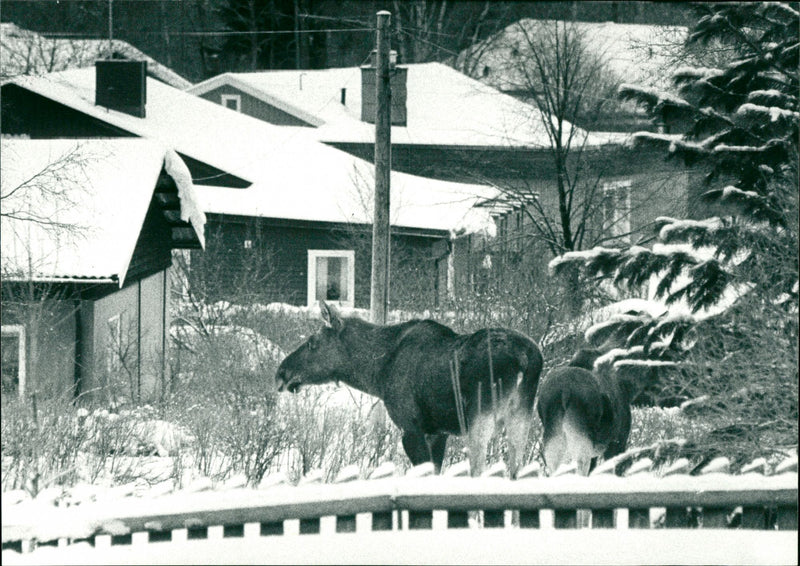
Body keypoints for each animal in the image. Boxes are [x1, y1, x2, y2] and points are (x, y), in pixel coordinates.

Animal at [276, 304, 544, 478]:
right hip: (521, 417)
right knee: (517, 470)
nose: (281, 372)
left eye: (312, 343)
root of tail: (526, 360)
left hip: (480, 418)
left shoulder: (411, 428)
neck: (378, 373)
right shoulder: (437, 432)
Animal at [536, 348, 664, 478]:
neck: (627, 389)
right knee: (580, 462)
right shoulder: (617, 441)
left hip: (553, 430)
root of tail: (564, 391)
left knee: (553, 461)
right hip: (581, 432)